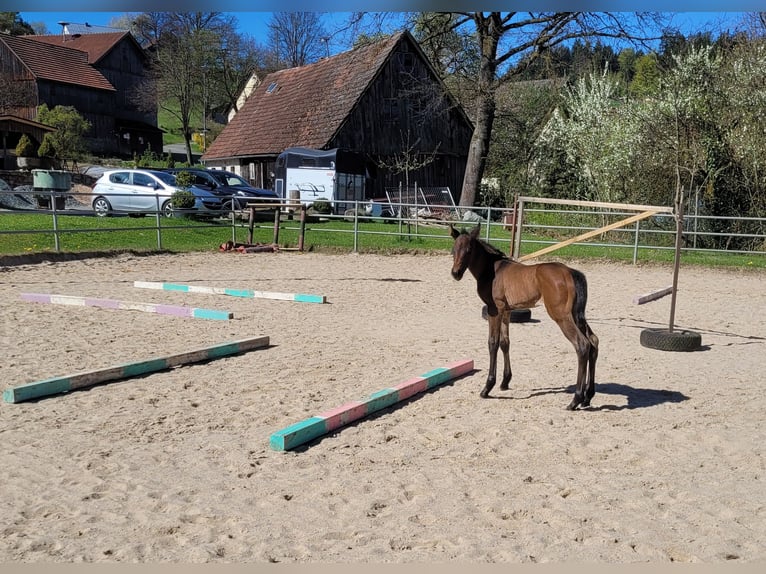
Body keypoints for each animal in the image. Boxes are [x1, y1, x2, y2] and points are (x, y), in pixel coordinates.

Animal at [449, 224, 599, 410]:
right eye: (454, 249)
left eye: (469, 250)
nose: (456, 273)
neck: (492, 270)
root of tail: (570, 272)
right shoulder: (506, 311)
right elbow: (505, 343)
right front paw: (505, 382)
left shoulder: (494, 309)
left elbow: (493, 343)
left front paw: (487, 387)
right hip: (577, 315)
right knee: (593, 342)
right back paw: (587, 397)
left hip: (561, 315)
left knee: (582, 344)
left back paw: (575, 399)